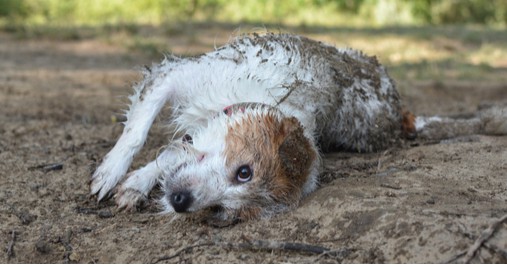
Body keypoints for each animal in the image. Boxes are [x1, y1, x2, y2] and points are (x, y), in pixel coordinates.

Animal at [91, 33, 507, 223]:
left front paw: (135, 184)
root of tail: (401, 116)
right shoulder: (174, 75)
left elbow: (169, 156)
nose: (181, 201)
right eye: (244, 171)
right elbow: (137, 133)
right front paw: (112, 173)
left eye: (224, 208)